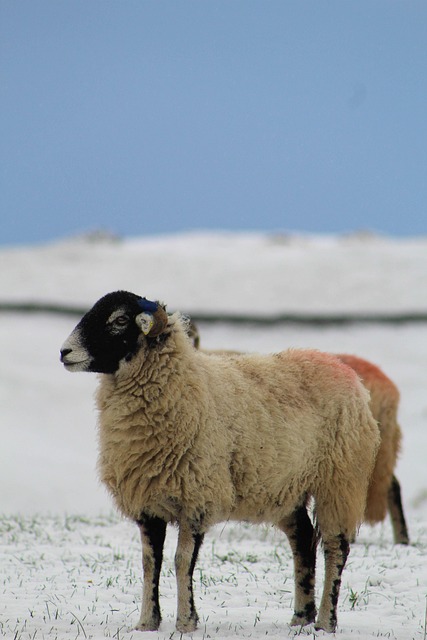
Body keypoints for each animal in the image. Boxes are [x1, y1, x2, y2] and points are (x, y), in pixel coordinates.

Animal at [60, 290, 380, 634]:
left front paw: (186, 622)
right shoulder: (148, 503)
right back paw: (300, 617)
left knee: (335, 547)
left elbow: (181, 560)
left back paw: (325, 622)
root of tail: (338, 365)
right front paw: (146, 623)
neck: (184, 384)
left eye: (119, 320)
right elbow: (149, 563)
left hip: (340, 480)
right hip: (286, 487)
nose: (64, 351)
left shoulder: (197, 498)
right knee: (304, 539)